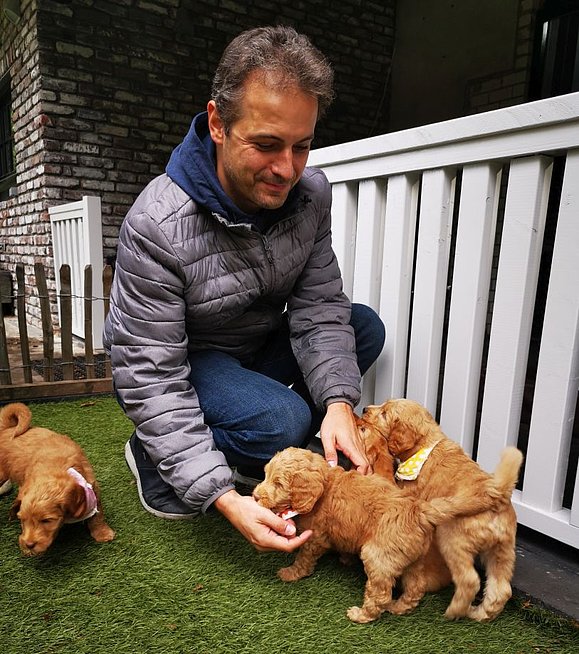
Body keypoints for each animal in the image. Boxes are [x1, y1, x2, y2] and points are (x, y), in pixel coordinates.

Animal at [0, 402, 115, 556]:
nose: (29, 545)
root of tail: (8, 429)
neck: (57, 469)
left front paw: (102, 533)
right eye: (22, 520)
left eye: (46, 520)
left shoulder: (92, 487)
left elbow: (98, 514)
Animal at [254, 448, 480, 628]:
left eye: (278, 483)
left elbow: (303, 559)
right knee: (416, 586)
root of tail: (418, 511)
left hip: (378, 556)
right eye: (265, 475)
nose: (255, 496)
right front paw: (345, 558)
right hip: (413, 557)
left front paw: (291, 573)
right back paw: (399, 607)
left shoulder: (315, 538)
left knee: (380, 593)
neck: (325, 484)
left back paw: (362, 615)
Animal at [362, 398, 520, 624]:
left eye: (384, 414)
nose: (364, 409)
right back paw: (480, 614)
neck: (426, 443)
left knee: (469, 580)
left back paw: (454, 611)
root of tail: (496, 494)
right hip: (502, 549)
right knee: (501, 589)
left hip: (452, 539)